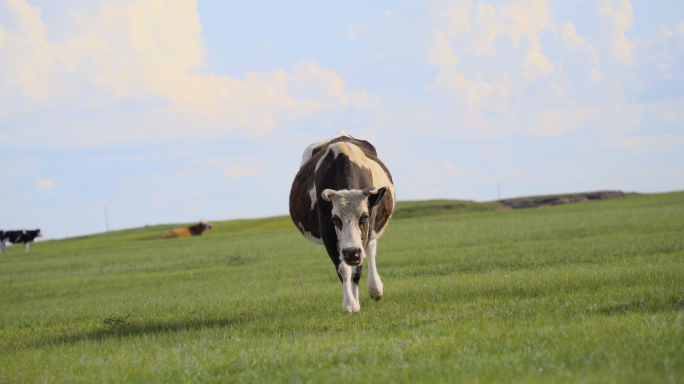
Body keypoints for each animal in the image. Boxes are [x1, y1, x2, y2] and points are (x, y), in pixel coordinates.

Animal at [288, 131, 396, 312]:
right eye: (335, 219)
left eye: (365, 217)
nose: (351, 252)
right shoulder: (327, 233)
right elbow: (344, 270)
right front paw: (350, 304)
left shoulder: (365, 232)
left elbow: (357, 269)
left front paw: (356, 300)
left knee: (371, 251)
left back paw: (375, 289)